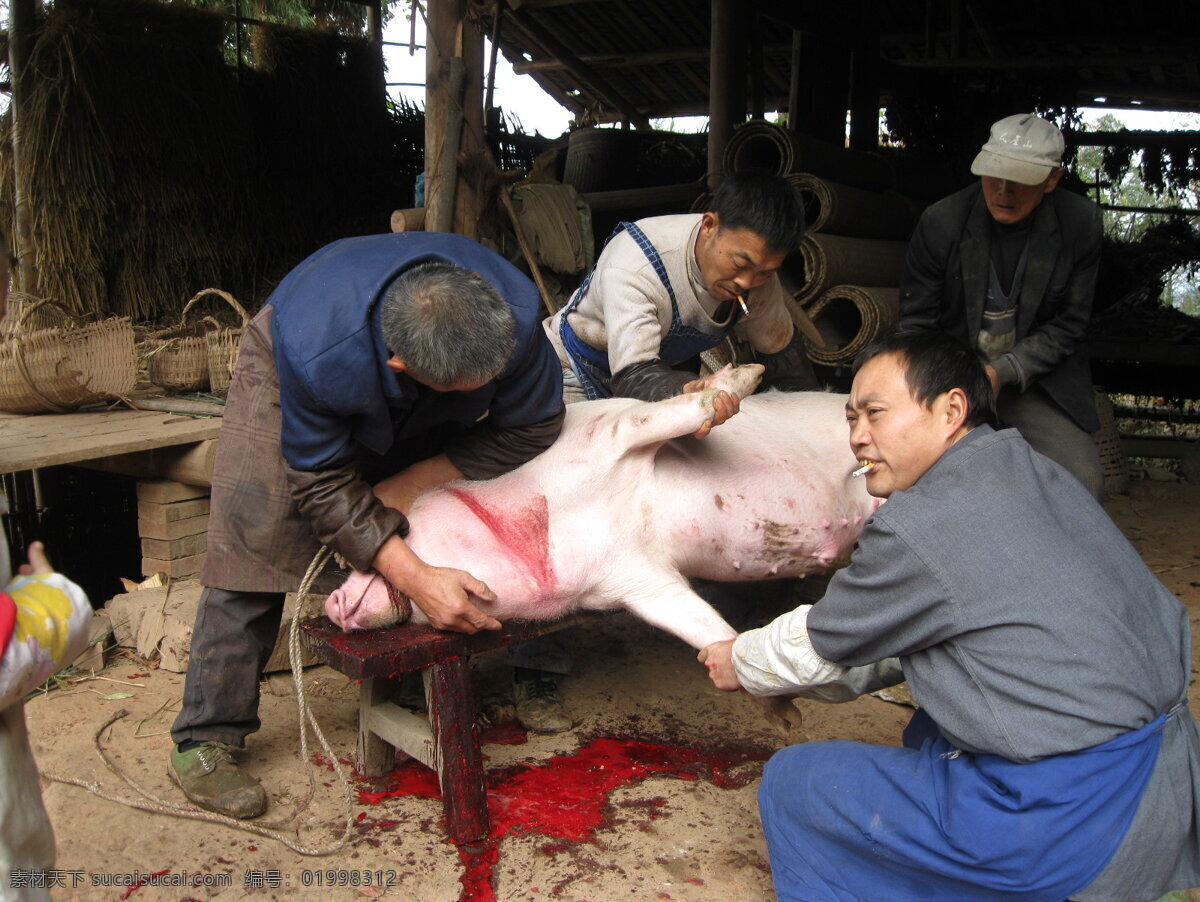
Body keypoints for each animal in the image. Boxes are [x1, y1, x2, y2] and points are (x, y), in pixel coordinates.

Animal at [324, 362, 878, 652]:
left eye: (403, 526)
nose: (331, 604)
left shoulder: (611, 433)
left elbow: (677, 414)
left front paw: (742, 380)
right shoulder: (633, 579)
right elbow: (697, 623)